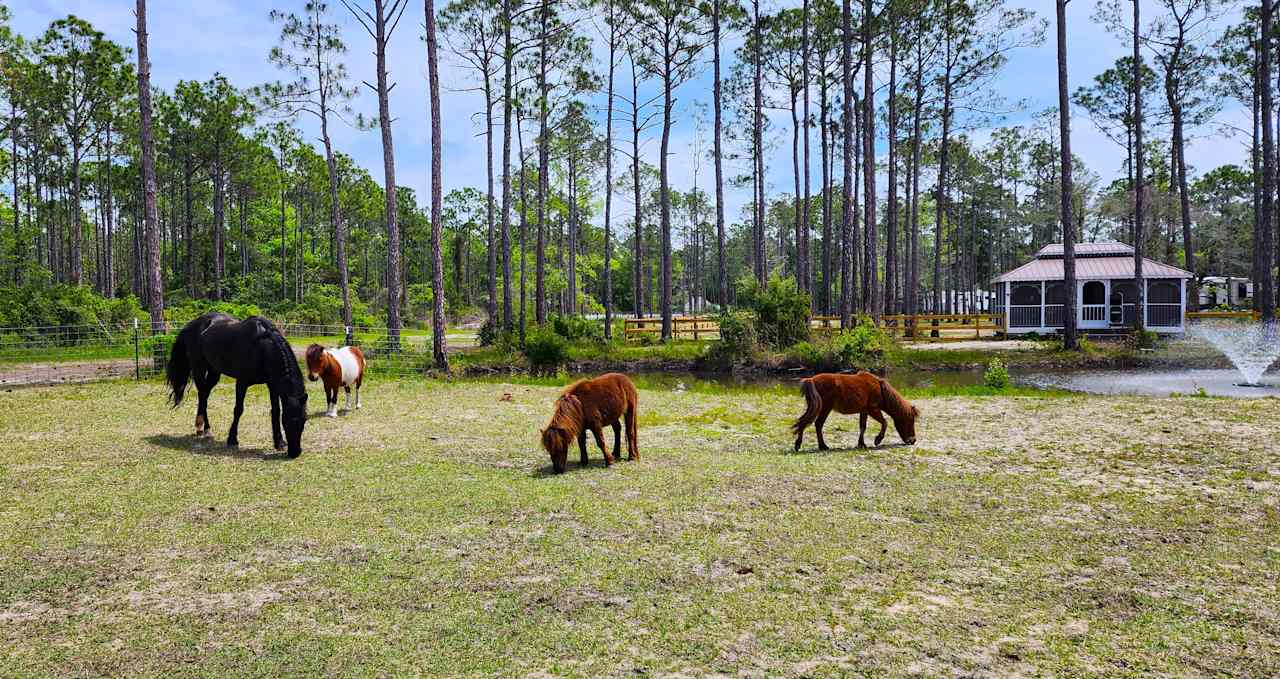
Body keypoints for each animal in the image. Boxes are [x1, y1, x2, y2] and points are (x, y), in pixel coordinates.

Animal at [165, 313, 309, 456]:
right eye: (288, 421)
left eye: (304, 419)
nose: (295, 452)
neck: (261, 347)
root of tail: (191, 324)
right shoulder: (241, 382)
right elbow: (238, 409)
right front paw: (232, 439)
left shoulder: (272, 385)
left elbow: (276, 411)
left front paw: (279, 443)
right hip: (199, 369)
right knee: (202, 396)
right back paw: (203, 428)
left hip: (214, 372)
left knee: (204, 394)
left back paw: (204, 429)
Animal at [788, 368, 921, 448]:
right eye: (910, 421)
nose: (913, 440)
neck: (880, 389)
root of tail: (811, 380)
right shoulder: (873, 410)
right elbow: (885, 422)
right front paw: (878, 440)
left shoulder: (864, 411)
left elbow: (863, 427)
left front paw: (861, 444)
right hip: (825, 409)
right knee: (817, 424)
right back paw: (822, 446)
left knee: (804, 421)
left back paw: (799, 444)